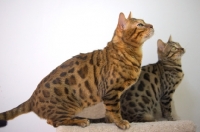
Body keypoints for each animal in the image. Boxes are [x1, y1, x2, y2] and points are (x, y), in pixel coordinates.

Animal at [0, 11, 154, 129]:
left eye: (145, 22)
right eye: (140, 24)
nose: (152, 25)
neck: (131, 54)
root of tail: (32, 98)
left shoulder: (113, 95)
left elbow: (109, 111)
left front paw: (110, 121)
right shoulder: (111, 92)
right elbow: (115, 110)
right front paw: (120, 122)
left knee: (51, 121)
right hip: (68, 107)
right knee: (57, 122)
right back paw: (81, 121)